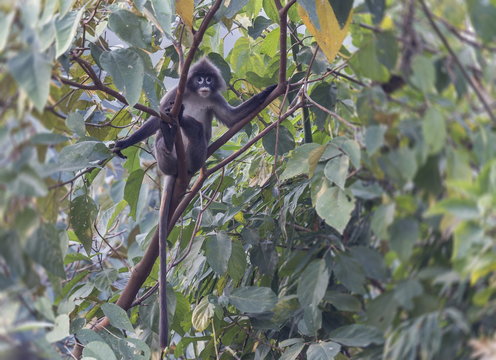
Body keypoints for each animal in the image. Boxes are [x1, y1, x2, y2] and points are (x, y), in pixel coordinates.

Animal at [110, 58, 278, 348]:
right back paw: (169, 134)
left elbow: (232, 119)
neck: (196, 96)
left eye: (208, 79)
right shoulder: (174, 93)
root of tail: (176, 171)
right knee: (161, 131)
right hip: (166, 159)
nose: (204, 84)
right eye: (198, 78)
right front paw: (125, 141)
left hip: (196, 155)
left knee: (197, 131)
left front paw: (272, 89)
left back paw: (179, 129)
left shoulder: (214, 99)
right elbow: (154, 118)